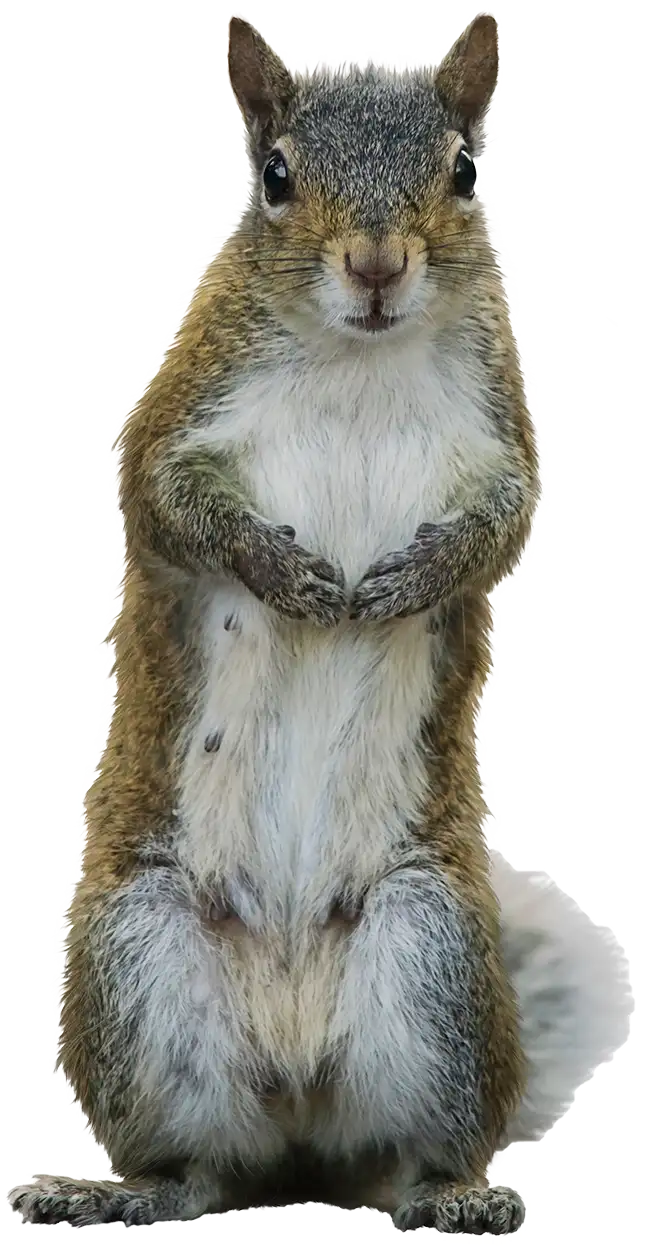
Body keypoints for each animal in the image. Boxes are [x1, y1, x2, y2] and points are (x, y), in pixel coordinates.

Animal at [9, 12, 632, 1233]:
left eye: (466, 172)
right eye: (276, 176)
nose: (379, 265)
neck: (360, 353)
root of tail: (297, 1118)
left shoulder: (502, 431)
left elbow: (504, 530)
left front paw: (407, 581)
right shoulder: (183, 405)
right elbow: (164, 504)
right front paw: (283, 575)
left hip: (432, 953)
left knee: (404, 1154)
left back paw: (452, 1198)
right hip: (140, 951)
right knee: (200, 1171)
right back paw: (118, 1193)